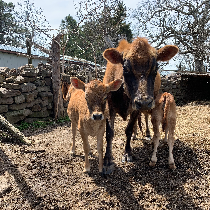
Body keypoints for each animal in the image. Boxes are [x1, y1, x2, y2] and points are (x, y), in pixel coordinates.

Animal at [102, 37, 178, 174]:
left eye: (155, 68)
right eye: (125, 68)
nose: (144, 102)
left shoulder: (136, 108)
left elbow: (128, 129)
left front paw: (127, 153)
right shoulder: (109, 106)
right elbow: (110, 132)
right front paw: (107, 161)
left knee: (145, 119)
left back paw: (146, 133)